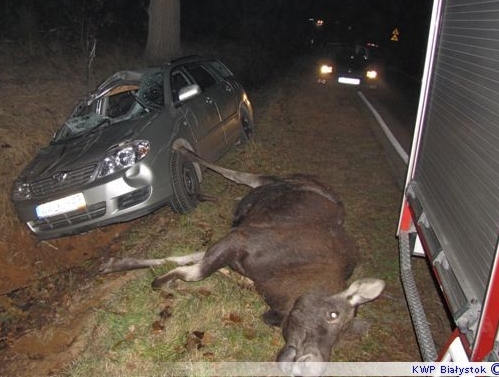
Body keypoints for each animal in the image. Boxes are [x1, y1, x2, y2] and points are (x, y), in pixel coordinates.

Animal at [99, 145, 384, 372]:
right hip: (267, 182)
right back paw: (181, 148)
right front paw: (160, 281)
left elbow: (180, 259)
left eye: (343, 335)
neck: (278, 288)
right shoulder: (240, 239)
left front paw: (117, 264)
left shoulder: (233, 246)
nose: (313, 366)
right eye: (333, 314)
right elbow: (193, 271)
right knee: (238, 174)